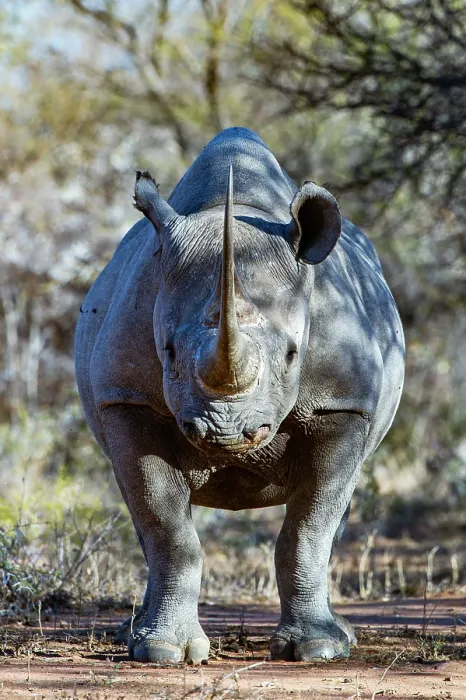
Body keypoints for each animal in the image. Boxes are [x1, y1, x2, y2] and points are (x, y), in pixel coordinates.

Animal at [75, 127, 404, 663]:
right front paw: (163, 652)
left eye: (293, 355)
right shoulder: (126, 400)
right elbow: (166, 527)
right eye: (167, 352)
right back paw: (133, 634)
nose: (226, 432)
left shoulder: (343, 404)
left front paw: (316, 650)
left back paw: (343, 636)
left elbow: (309, 527)